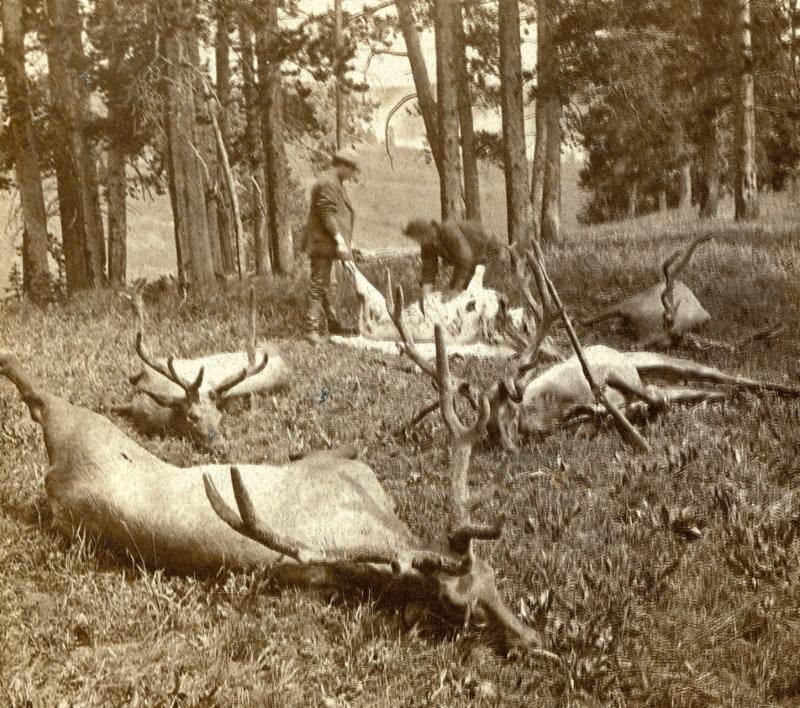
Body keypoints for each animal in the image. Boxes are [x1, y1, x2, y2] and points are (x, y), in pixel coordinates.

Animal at [0, 347, 558, 656]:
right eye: (461, 610)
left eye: (493, 577)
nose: (534, 642)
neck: (374, 520)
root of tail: (58, 467)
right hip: (81, 440)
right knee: (45, 401)